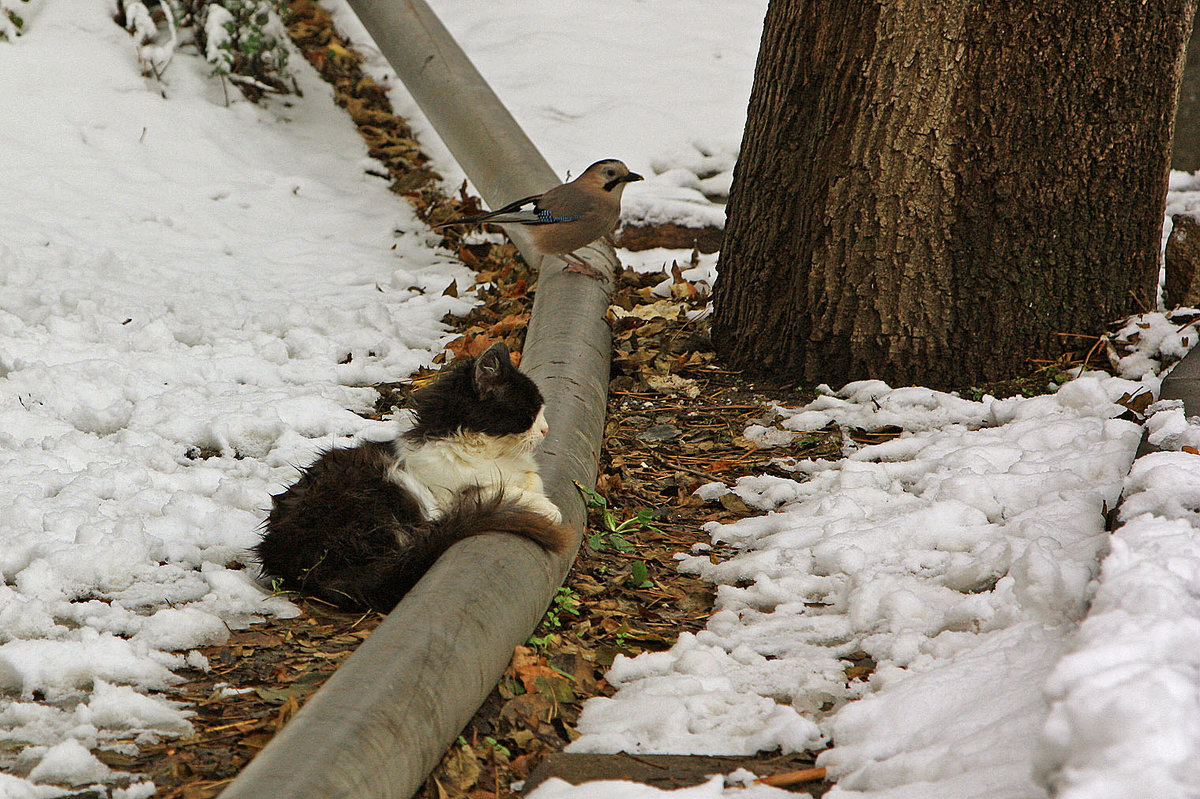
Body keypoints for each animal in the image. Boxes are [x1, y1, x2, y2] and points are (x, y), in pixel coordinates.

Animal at [254, 340, 571, 609]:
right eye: (530, 412)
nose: (546, 429)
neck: (492, 452)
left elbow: (532, 480)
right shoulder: (450, 495)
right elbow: (500, 491)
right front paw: (548, 509)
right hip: (393, 490)